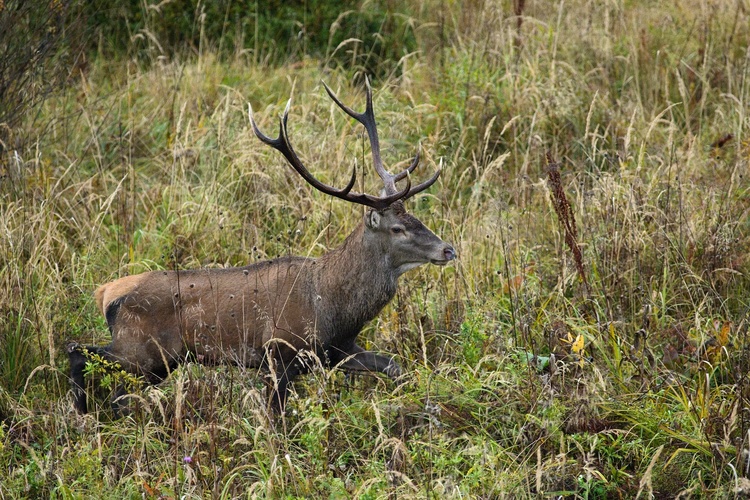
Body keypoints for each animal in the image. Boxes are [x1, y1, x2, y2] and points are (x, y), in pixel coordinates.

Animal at [69, 79, 458, 414]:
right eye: (397, 228)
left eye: (417, 218)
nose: (448, 249)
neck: (333, 307)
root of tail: (106, 292)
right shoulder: (278, 353)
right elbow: (277, 416)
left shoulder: (337, 350)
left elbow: (393, 365)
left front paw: (425, 405)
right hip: (142, 348)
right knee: (84, 356)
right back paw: (84, 412)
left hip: (158, 359)